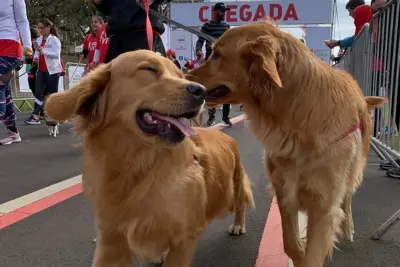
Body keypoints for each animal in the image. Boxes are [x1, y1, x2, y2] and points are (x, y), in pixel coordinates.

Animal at [45, 50, 255, 267]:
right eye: (149, 69)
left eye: (179, 74)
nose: (201, 91)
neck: (138, 166)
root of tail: (226, 136)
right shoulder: (111, 238)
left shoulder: (184, 238)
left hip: (234, 188)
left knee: (241, 204)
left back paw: (238, 225)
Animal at [186, 19, 386, 266]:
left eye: (217, 55)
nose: (185, 79)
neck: (295, 115)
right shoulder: (285, 193)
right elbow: (291, 245)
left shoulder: (323, 205)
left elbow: (313, 253)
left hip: (352, 170)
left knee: (347, 197)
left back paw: (348, 227)